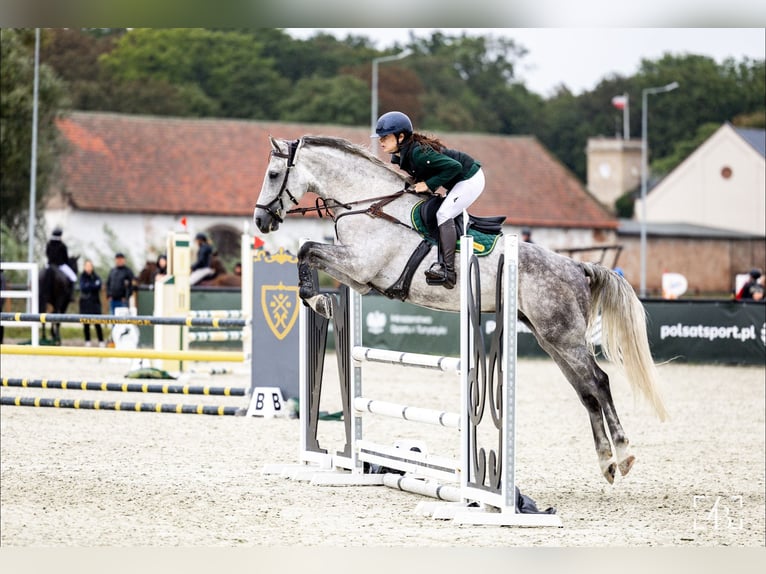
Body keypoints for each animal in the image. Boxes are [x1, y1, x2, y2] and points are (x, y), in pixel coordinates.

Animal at [255, 136, 668, 486]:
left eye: (274, 174)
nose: (261, 221)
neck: (367, 204)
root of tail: (576, 267)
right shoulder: (359, 278)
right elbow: (309, 252)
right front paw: (320, 299)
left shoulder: (361, 264)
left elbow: (306, 248)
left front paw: (316, 300)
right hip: (550, 338)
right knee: (586, 392)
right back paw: (607, 463)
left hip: (563, 336)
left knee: (599, 382)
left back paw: (624, 455)